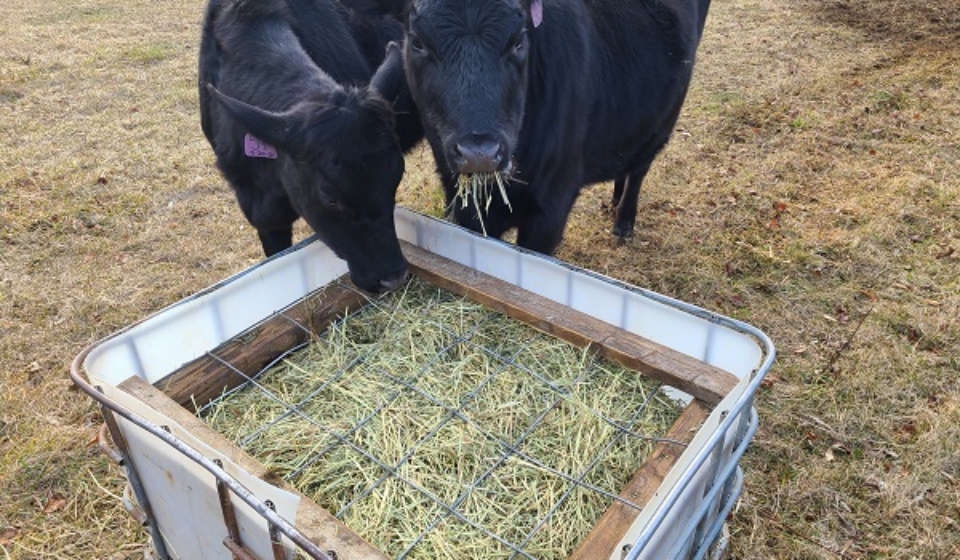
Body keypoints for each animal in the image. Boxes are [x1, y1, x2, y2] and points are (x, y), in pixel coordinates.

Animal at [402, 0, 708, 254]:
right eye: (417, 42)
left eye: (518, 41)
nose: (480, 153)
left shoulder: (552, 207)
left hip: (662, 122)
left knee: (639, 169)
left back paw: (624, 221)